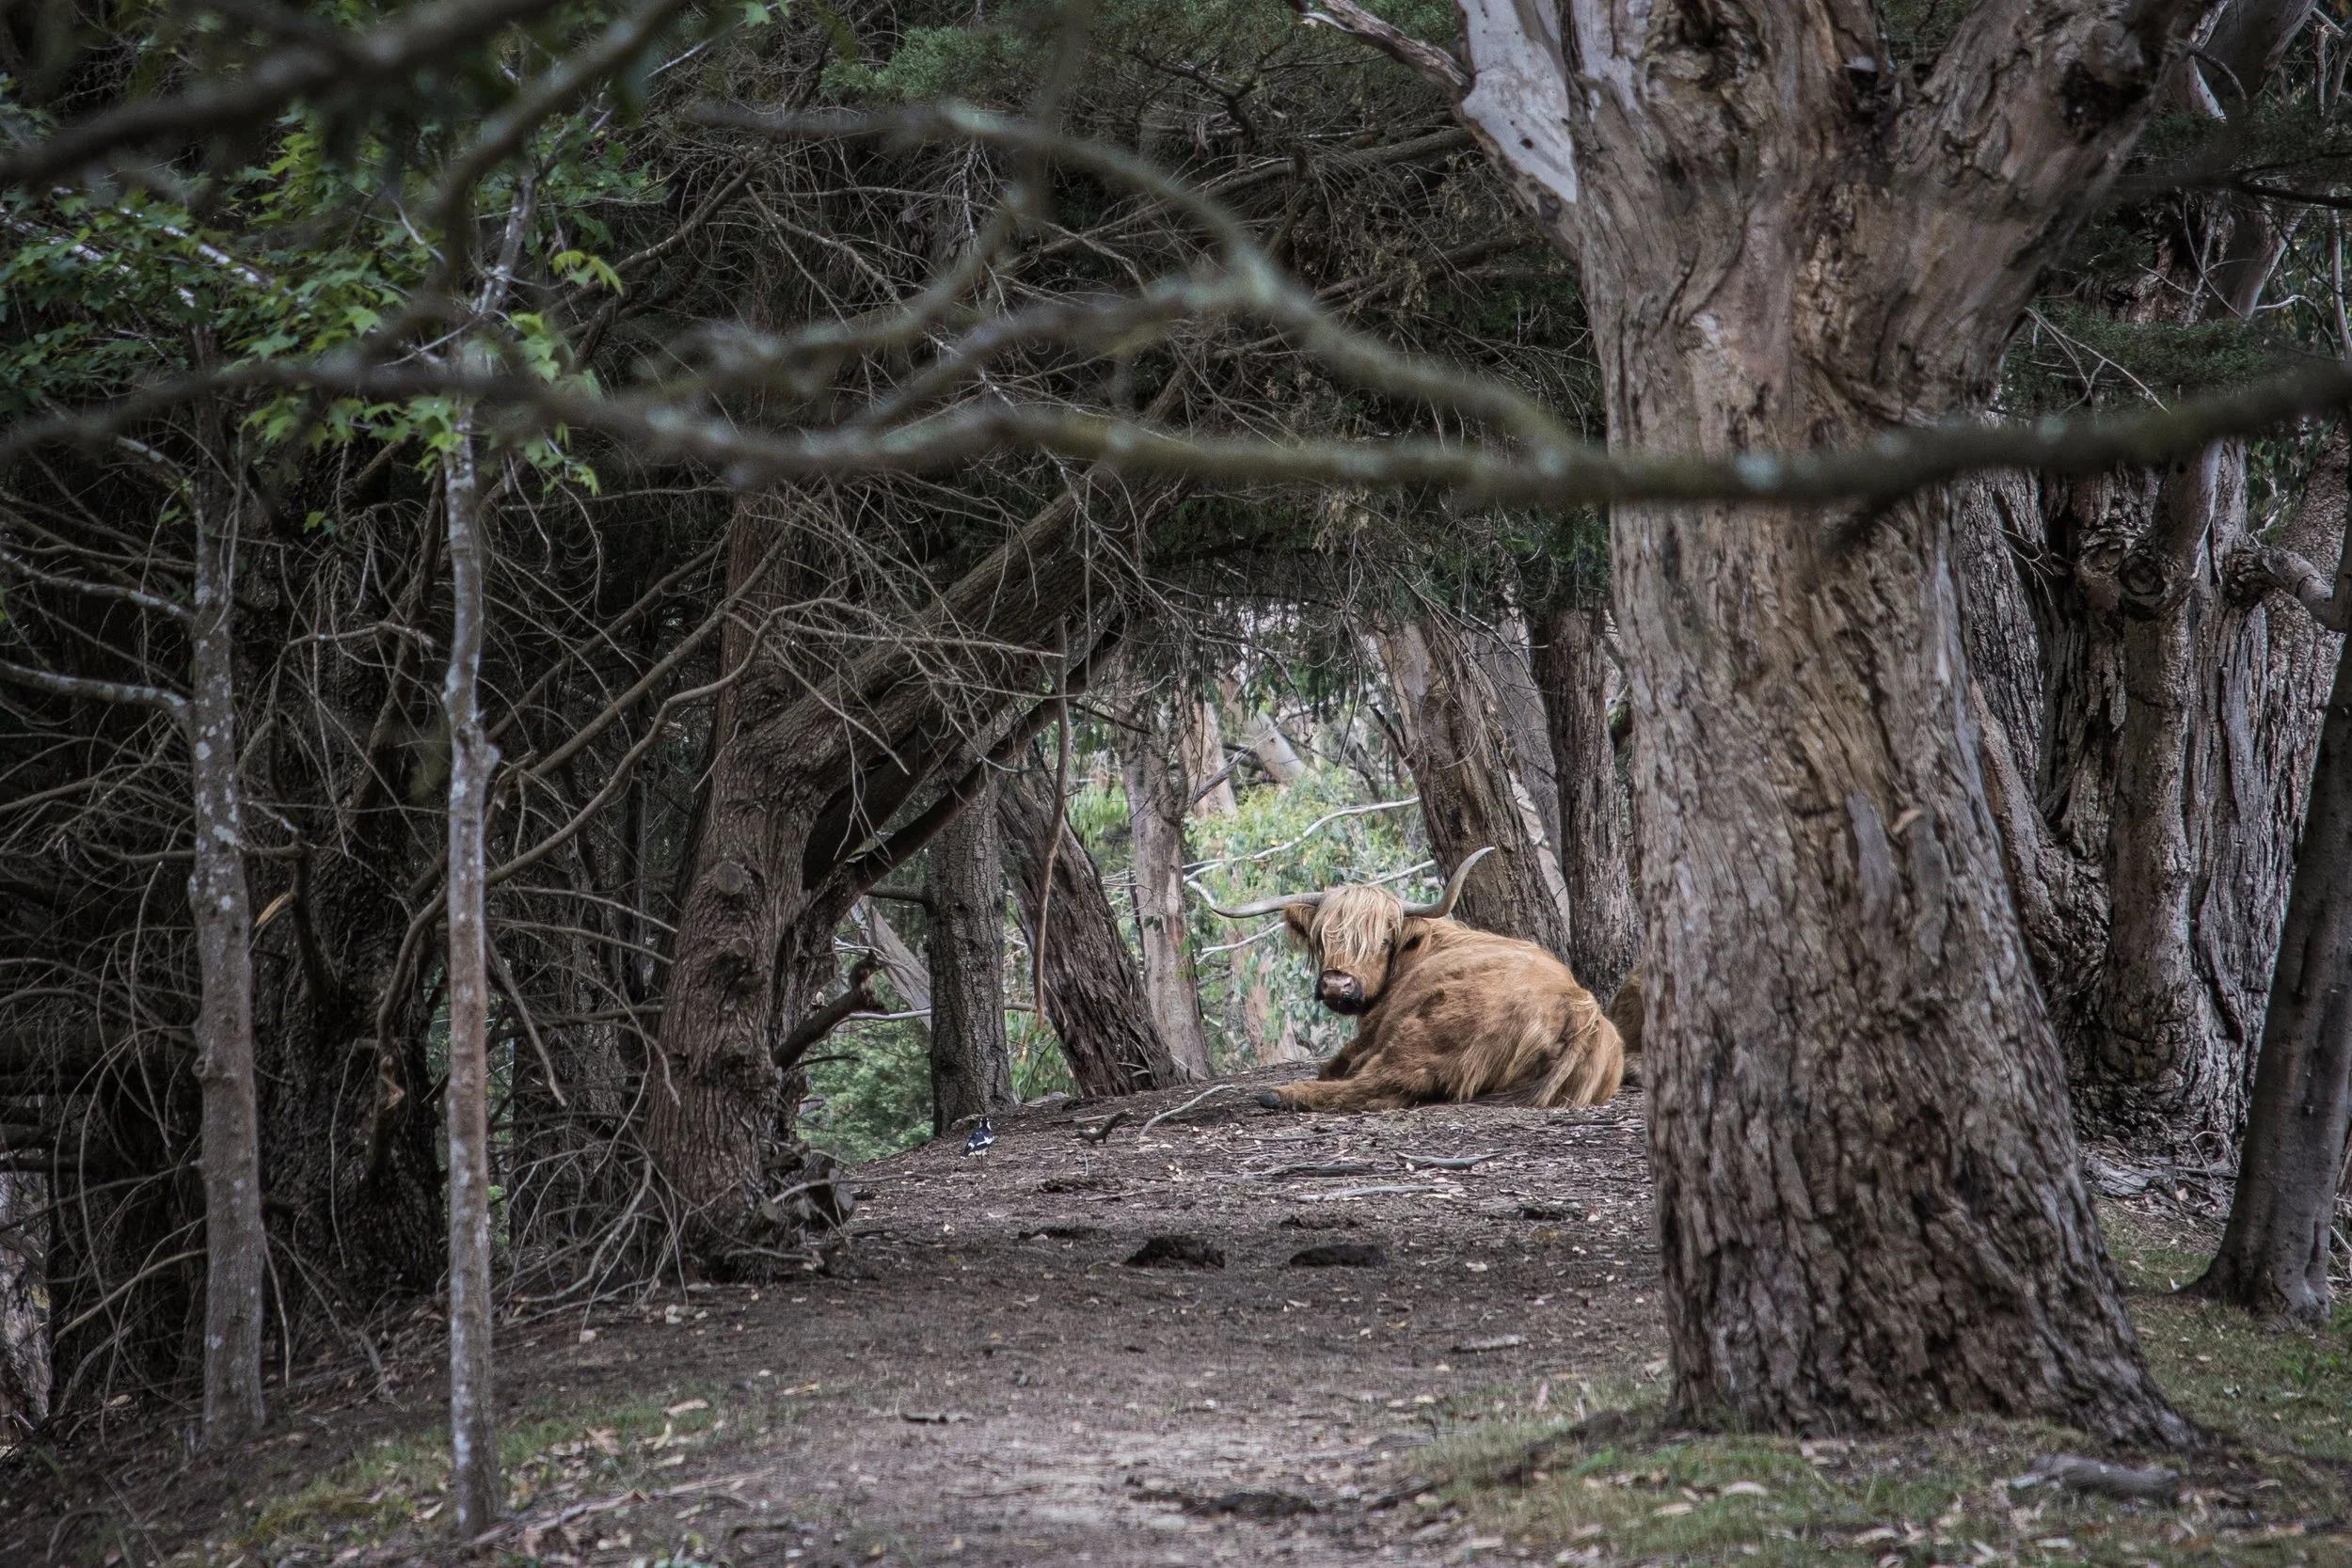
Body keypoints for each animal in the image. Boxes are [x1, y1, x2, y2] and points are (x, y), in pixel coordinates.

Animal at [1210, 848, 1625, 1113]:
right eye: (1322, 938)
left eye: (1383, 940)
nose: (1336, 986)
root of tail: (1578, 1008)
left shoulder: (1369, 1038)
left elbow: (1335, 1067)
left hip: (1423, 1035)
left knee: (1379, 1086)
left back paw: (1281, 1094)